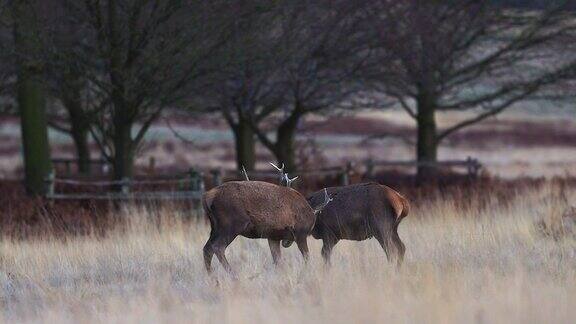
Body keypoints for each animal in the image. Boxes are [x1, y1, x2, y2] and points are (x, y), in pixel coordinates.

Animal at [202, 180, 330, 274]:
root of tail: (207, 197)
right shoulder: (300, 233)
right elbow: (307, 257)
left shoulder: (273, 236)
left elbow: (277, 260)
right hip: (231, 225)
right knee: (217, 247)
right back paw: (233, 275)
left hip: (215, 227)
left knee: (207, 248)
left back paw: (212, 277)